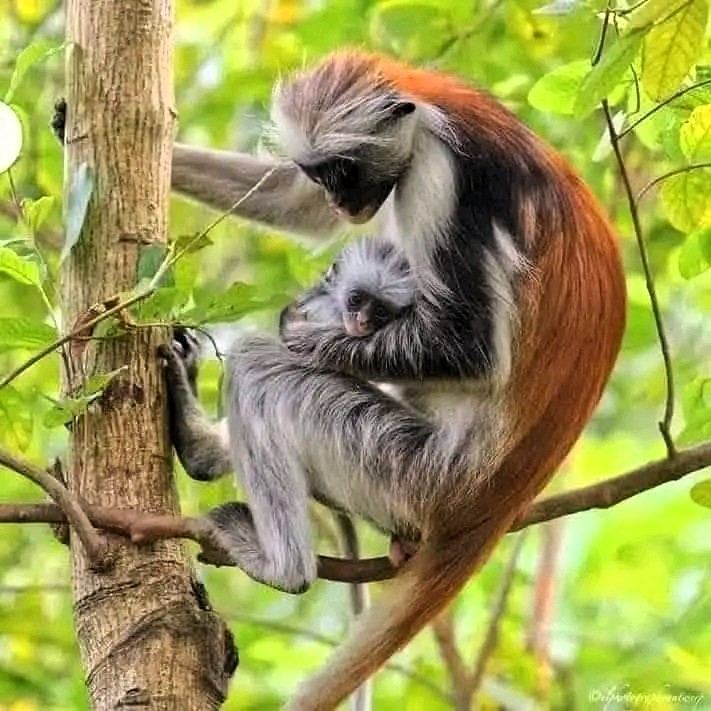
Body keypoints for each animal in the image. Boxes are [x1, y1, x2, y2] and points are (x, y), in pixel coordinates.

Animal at [61, 51, 627, 709]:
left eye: (344, 170)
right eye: (321, 173)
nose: (342, 201)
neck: (428, 108)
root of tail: (493, 500)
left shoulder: (442, 175)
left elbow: (471, 350)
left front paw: (299, 330)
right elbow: (292, 202)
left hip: (405, 468)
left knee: (263, 372)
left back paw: (282, 564)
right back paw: (204, 446)